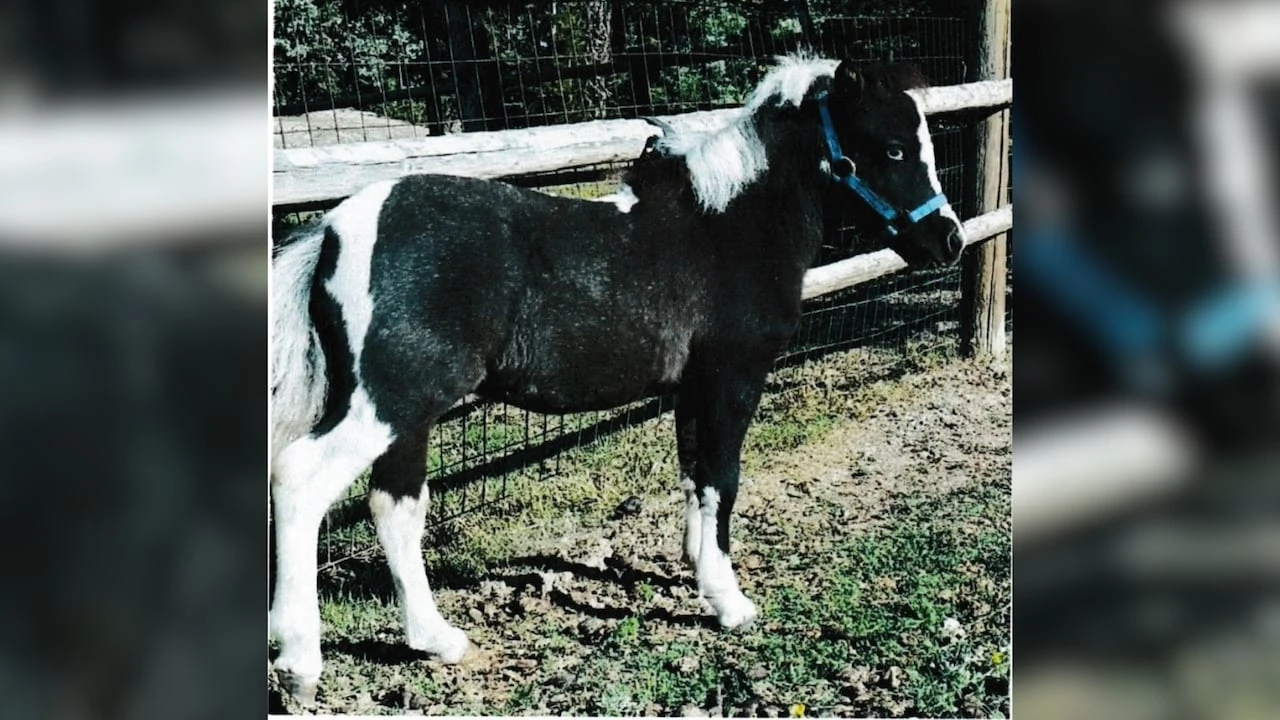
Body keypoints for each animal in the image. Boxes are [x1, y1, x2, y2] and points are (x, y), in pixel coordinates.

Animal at [269, 54, 965, 704]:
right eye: (893, 147)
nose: (949, 241)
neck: (724, 227)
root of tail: (333, 233)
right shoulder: (731, 379)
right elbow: (722, 481)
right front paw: (730, 604)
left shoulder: (692, 390)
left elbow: (694, 477)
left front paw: (697, 572)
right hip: (387, 402)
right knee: (301, 480)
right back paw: (301, 665)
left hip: (408, 412)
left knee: (396, 506)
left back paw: (438, 640)